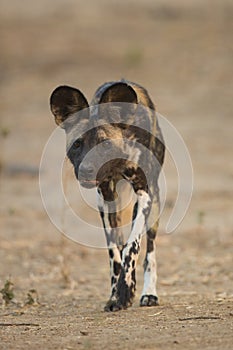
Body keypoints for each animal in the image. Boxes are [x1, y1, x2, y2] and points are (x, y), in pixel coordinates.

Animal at [50, 80, 165, 312]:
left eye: (105, 144)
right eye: (77, 144)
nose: (86, 170)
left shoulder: (144, 193)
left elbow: (132, 247)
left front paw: (126, 290)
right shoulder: (106, 198)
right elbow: (115, 253)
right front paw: (115, 296)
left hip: (154, 204)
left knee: (150, 251)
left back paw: (149, 293)